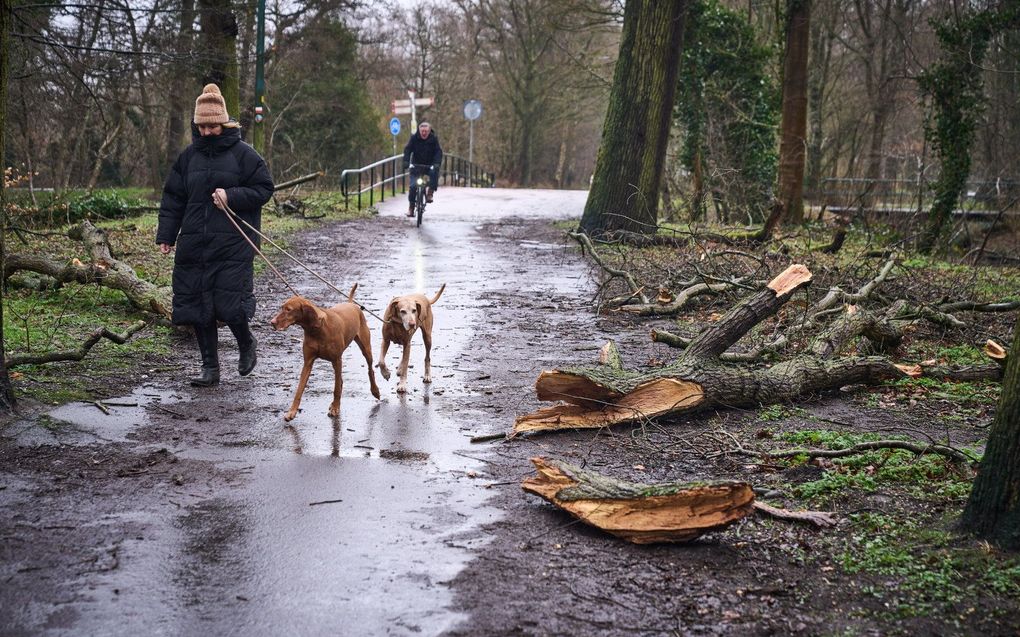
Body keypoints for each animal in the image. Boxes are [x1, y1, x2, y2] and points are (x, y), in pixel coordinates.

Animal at [269, 285, 381, 421]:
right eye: (281, 307)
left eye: (288, 310)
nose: (272, 322)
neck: (317, 330)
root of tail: (350, 303)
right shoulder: (308, 362)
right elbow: (299, 390)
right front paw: (292, 411)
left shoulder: (337, 359)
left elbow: (336, 389)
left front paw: (335, 408)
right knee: (340, 381)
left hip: (365, 349)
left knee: (370, 370)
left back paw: (375, 391)